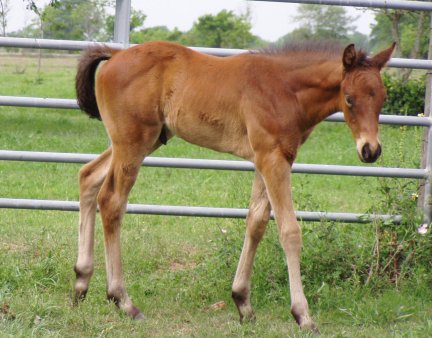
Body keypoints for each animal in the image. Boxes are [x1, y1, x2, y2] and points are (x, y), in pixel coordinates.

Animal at [73, 40, 394, 330]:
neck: (286, 89)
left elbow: (256, 222)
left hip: (143, 141)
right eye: (349, 98)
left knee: (88, 176)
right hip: (133, 142)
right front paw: (303, 315)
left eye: (382, 97)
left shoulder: (268, 159)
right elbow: (289, 231)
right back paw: (122, 300)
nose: (371, 150)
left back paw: (81, 282)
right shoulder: (273, 160)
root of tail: (116, 54)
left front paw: (243, 303)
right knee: (112, 201)